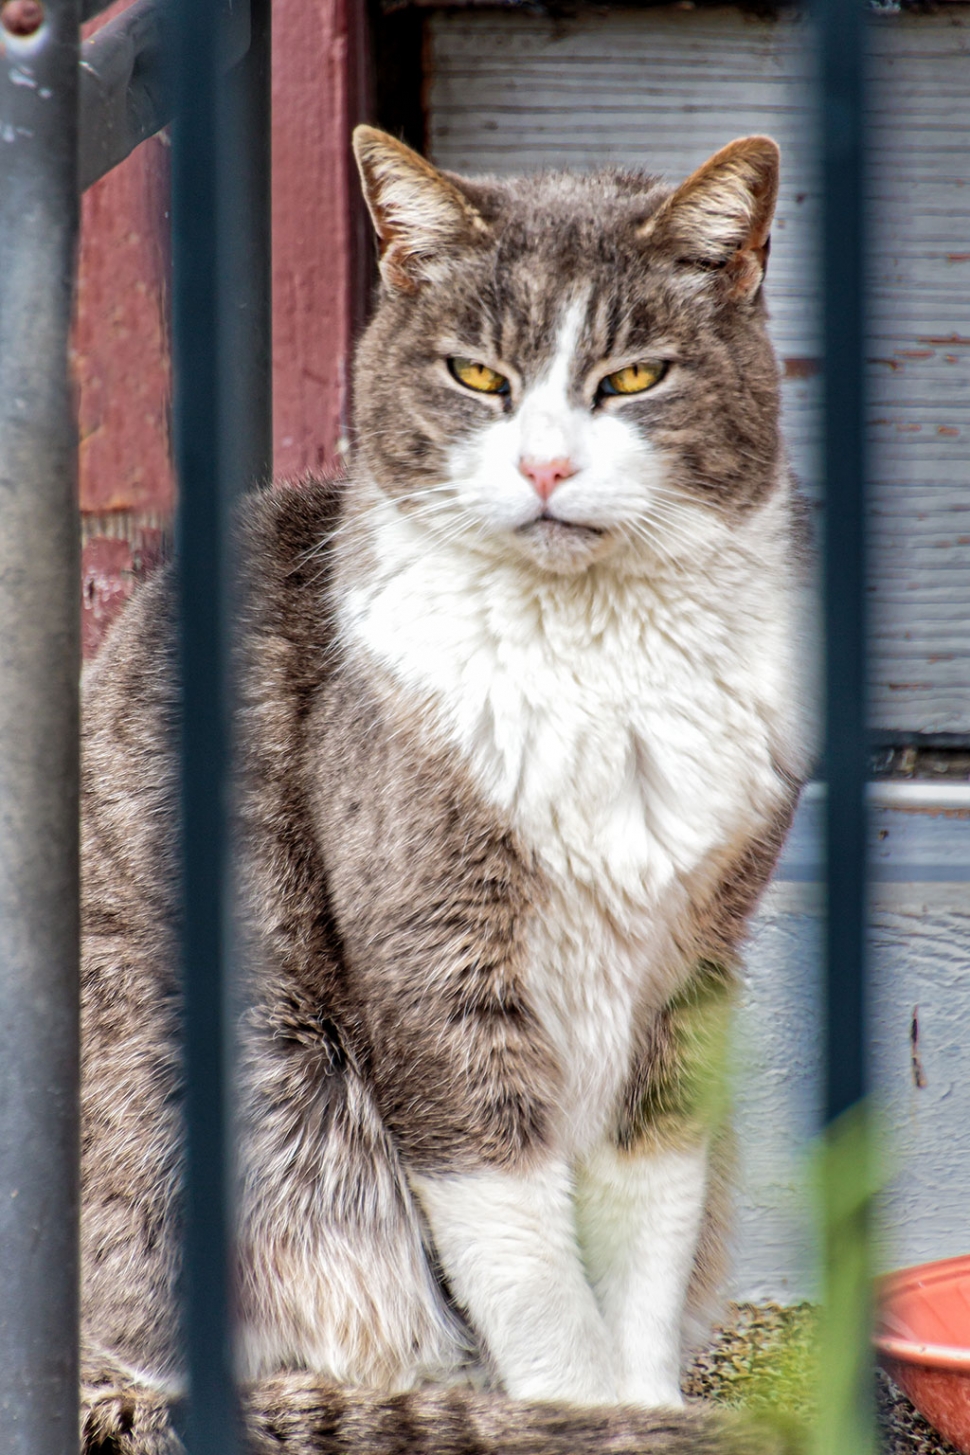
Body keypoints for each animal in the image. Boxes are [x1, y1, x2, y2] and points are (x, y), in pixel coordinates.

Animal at [79, 128, 814, 1455]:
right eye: (477, 374)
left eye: (634, 378)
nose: (545, 463)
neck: (594, 657)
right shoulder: (437, 970)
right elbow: (526, 1268)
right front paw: (588, 1413)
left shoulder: (687, 976)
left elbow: (647, 1222)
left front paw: (640, 1400)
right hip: (253, 1077)